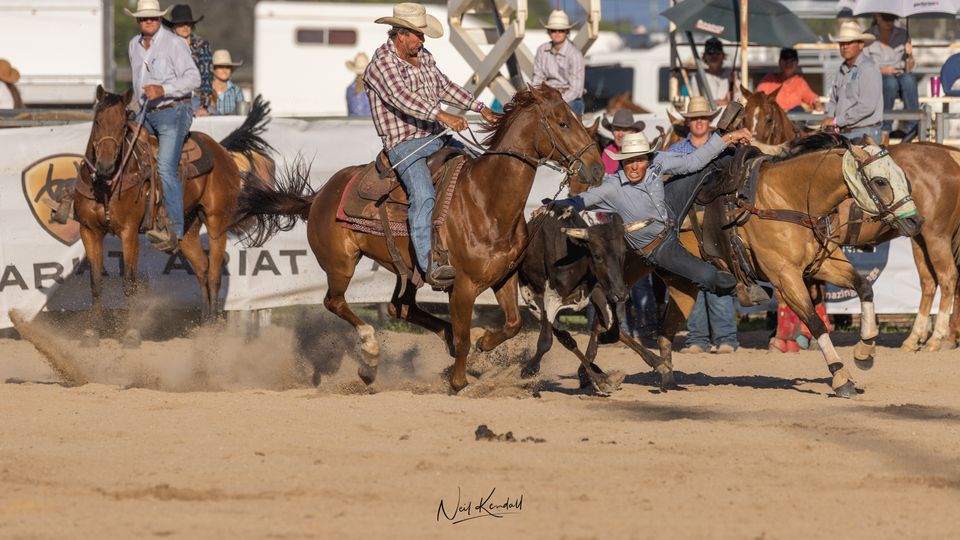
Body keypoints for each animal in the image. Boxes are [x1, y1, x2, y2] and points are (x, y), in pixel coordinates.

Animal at [72, 85, 270, 346]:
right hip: (187, 228)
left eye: (123, 125)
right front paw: (91, 332)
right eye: (97, 121)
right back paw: (204, 325)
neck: (106, 186)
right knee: (202, 269)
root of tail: (222, 150)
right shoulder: (89, 230)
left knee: (214, 274)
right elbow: (95, 282)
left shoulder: (128, 232)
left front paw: (131, 333)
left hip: (217, 222)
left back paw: (213, 329)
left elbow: (129, 283)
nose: (104, 166)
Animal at [232, 85, 604, 392]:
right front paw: (458, 381)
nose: (597, 168)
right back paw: (370, 352)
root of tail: (320, 196)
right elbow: (466, 335)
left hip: (408, 271)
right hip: (340, 264)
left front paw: (483, 344)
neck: (486, 199)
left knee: (400, 307)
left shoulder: (505, 277)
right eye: (562, 123)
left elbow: (511, 324)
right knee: (335, 302)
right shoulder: (463, 285)